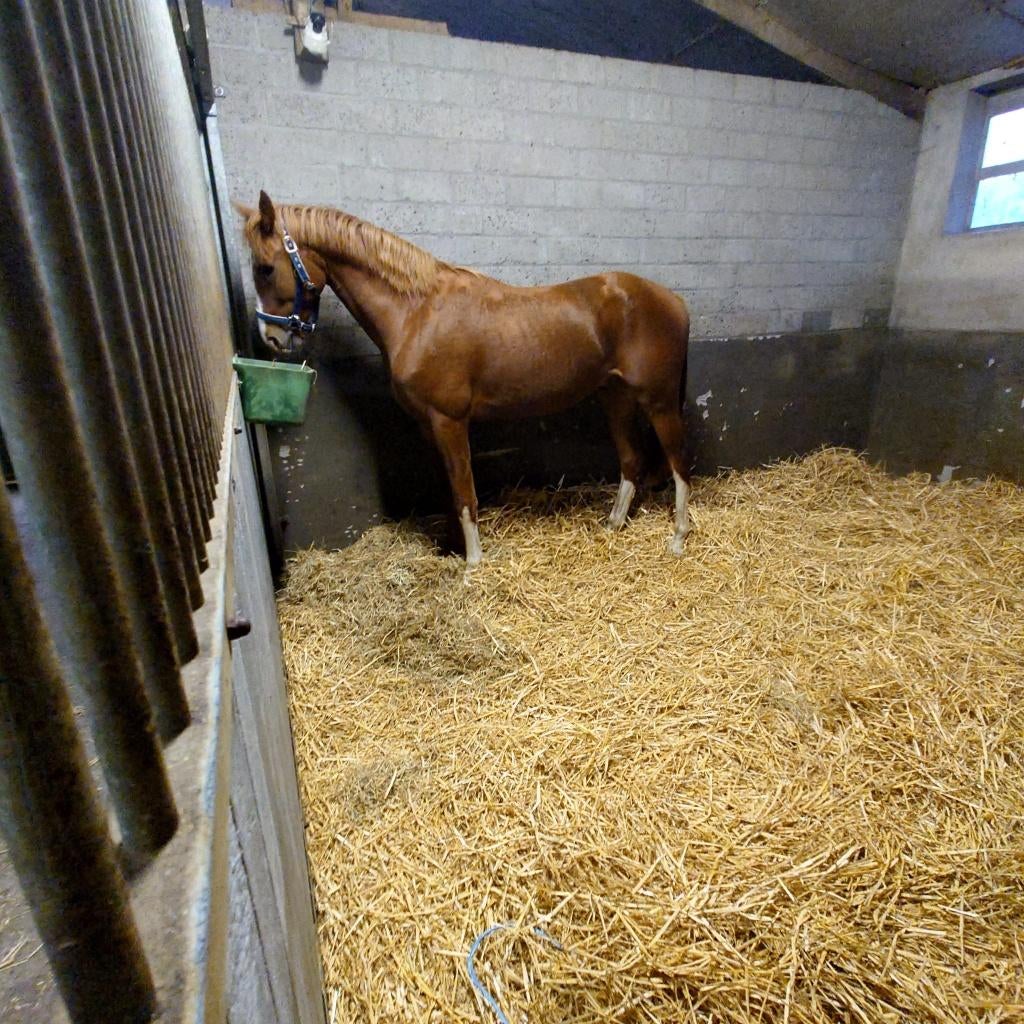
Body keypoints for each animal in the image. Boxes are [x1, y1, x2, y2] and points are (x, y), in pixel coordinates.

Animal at [237, 191, 691, 565]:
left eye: (265, 268)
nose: (271, 337)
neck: (416, 312)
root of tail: (673, 299)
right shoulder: (429, 425)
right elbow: (448, 488)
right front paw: (452, 549)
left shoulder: (450, 420)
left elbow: (464, 489)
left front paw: (473, 562)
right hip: (615, 398)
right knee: (631, 461)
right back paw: (613, 524)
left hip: (660, 403)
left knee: (678, 464)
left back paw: (678, 538)